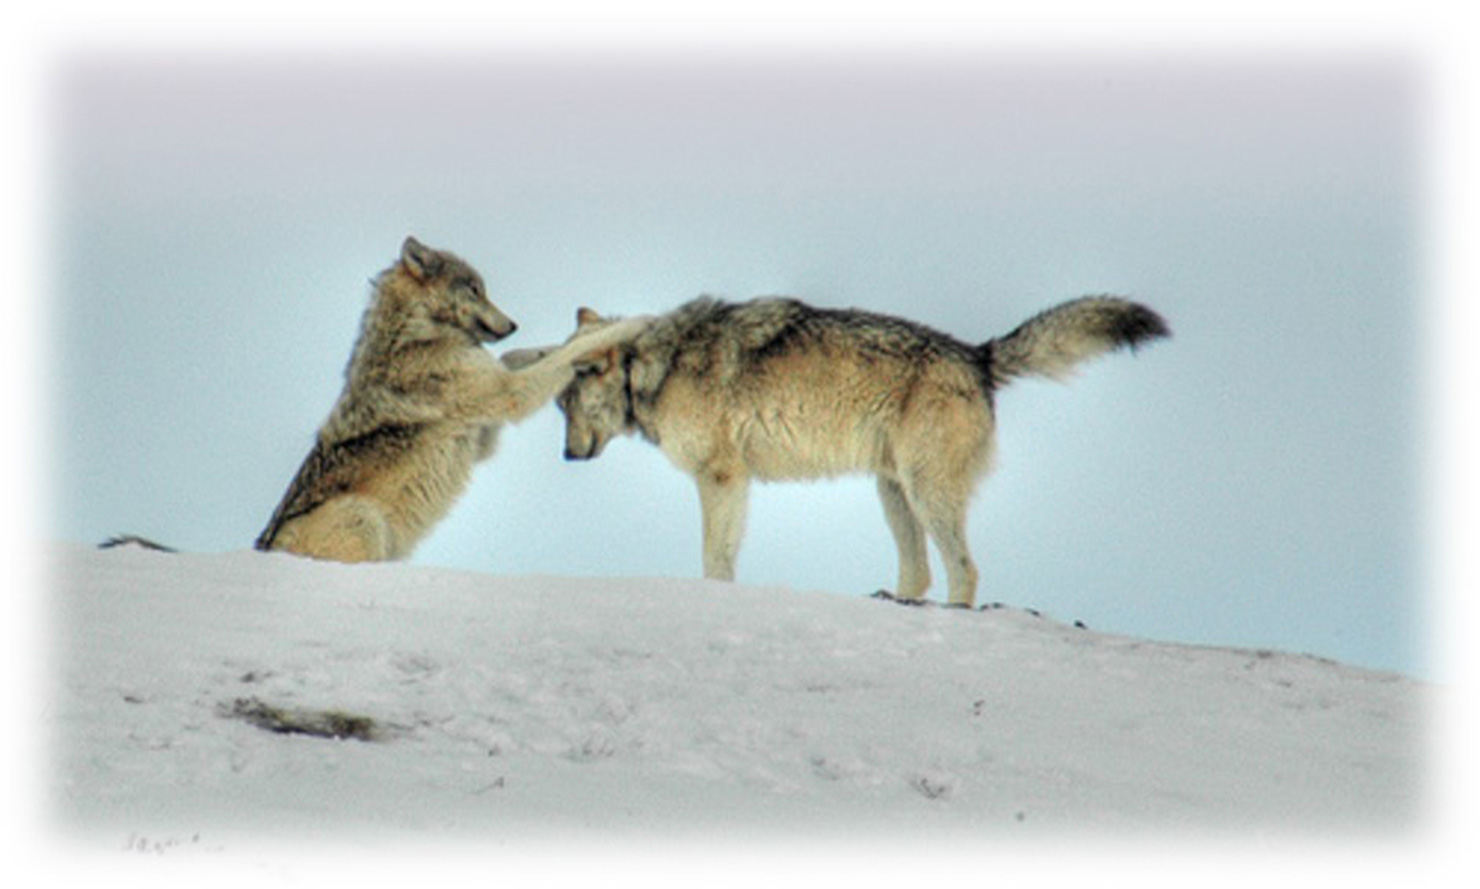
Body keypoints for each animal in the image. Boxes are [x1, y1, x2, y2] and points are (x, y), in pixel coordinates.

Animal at [254, 236, 646, 563]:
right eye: (475, 290)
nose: (513, 325)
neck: (418, 335)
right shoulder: (508, 395)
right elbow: (566, 355)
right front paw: (628, 324)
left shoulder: (482, 432)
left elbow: (525, 356)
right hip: (364, 518)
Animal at [546, 295, 1169, 607]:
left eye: (567, 403)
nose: (567, 457)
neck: (655, 366)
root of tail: (977, 355)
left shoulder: (721, 478)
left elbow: (714, 560)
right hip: (893, 493)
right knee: (920, 574)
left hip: (926, 492)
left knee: (964, 571)